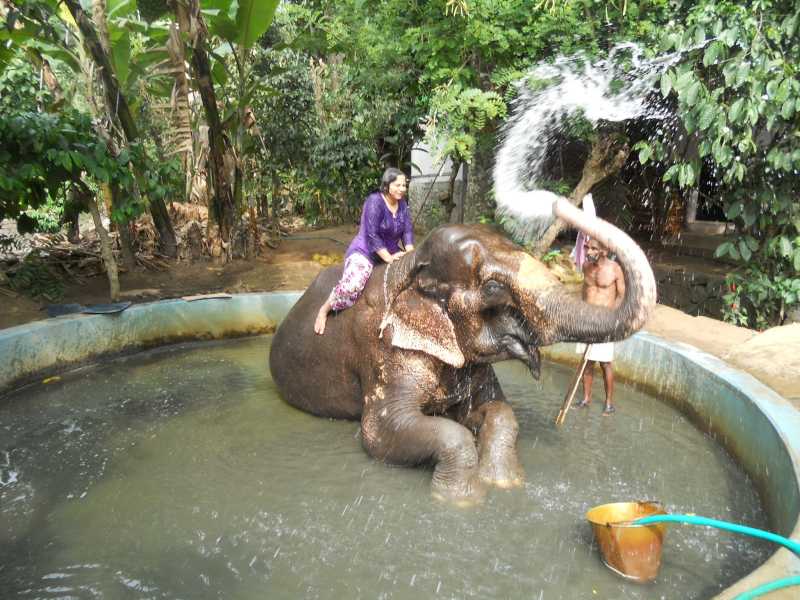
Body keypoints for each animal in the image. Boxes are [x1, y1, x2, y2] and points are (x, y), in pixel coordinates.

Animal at [269, 198, 656, 504]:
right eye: (494, 287)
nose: (560, 203)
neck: (411, 268)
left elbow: (497, 411)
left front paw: (505, 482)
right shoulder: (384, 351)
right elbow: (381, 432)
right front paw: (460, 500)